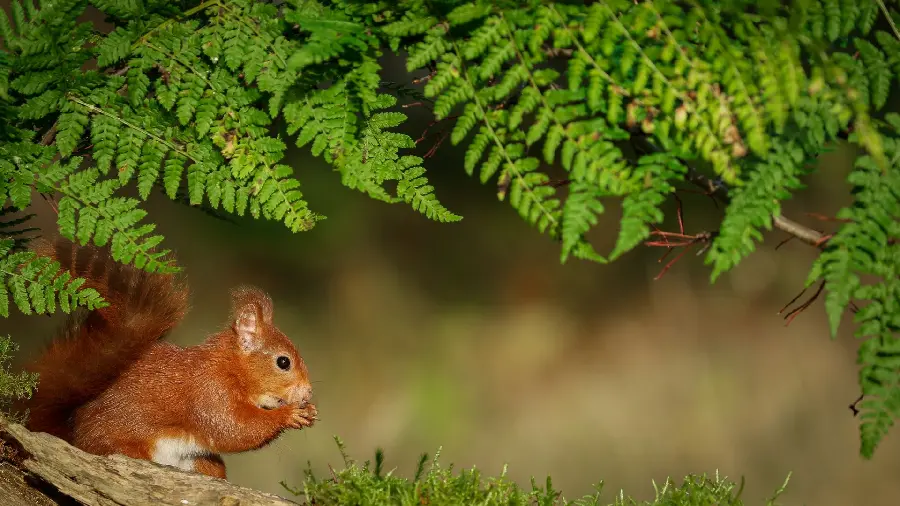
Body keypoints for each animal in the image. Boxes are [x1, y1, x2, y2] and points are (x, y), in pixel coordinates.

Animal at [19, 237, 318, 478]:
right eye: (283, 362)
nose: (307, 392)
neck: (230, 367)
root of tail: (72, 436)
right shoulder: (209, 392)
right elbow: (233, 428)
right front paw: (289, 415)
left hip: (196, 460)